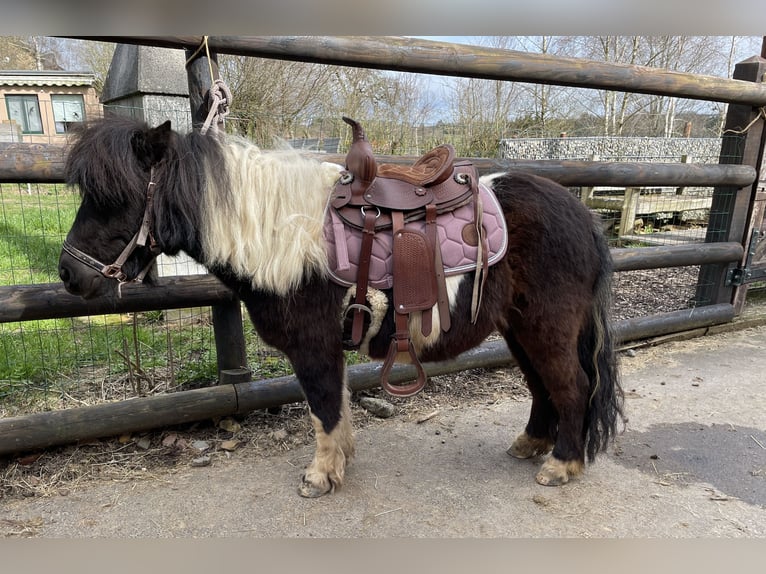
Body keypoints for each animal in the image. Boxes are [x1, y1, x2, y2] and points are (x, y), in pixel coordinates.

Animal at [60, 118, 624, 500]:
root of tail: (585, 216)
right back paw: (531, 444)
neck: (279, 236)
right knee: (544, 387)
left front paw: (321, 476)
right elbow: (337, 407)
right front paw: (340, 462)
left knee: (572, 386)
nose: (68, 275)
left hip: (548, 328)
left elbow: (324, 407)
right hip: (521, 330)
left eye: (114, 196)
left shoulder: (313, 347)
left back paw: (562, 465)